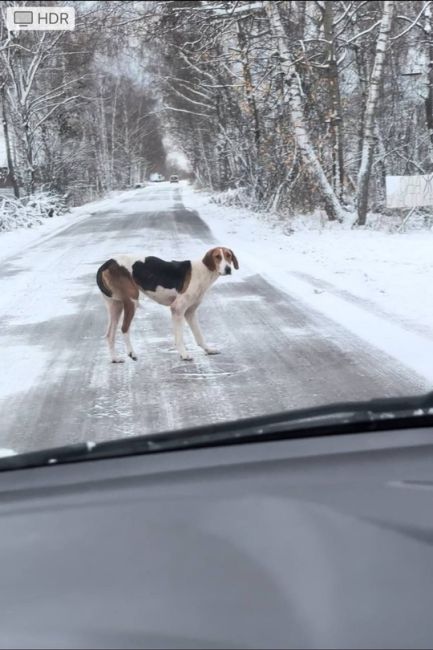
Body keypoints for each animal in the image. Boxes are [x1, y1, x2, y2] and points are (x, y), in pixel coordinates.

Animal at [95, 247, 240, 362]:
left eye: (228, 256)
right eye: (217, 257)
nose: (228, 269)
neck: (205, 271)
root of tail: (107, 263)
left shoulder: (190, 312)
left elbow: (199, 335)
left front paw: (208, 349)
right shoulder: (177, 309)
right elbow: (179, 338)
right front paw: (184, 355)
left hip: (115, 306)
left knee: (110, 334)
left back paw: (115, 358)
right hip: (132, 301)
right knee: (124, 328)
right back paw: (132, 353)